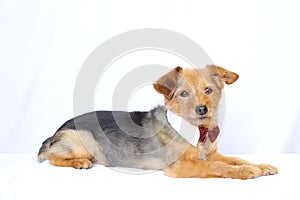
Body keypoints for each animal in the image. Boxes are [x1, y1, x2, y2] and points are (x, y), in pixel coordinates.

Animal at [38, 65, 278, 179]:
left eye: (208, 90)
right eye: (183, 94)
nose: (202, 109)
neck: (198, 131)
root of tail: (55, 133)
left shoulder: (212, 154)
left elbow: (236, 159)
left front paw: (259, 165)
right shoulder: (180, 166)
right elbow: (217, 166)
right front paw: (246, 172)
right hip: (82, 140)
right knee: (52, 157)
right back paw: (78, 162)